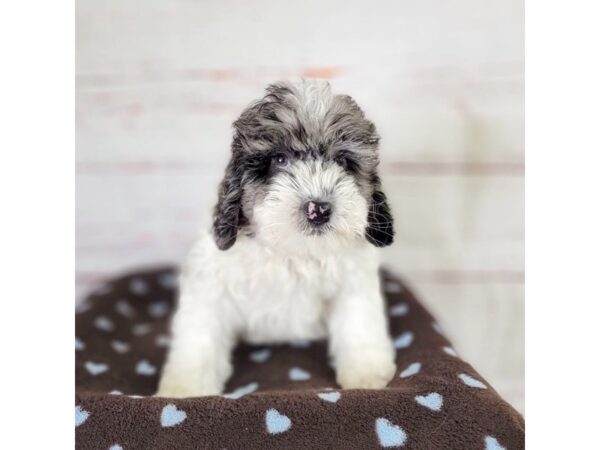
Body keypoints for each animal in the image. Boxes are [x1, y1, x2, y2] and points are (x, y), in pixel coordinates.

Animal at [157, 81, 396, 398]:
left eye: (343, 161)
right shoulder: (210, 285)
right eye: (279, 159)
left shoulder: (354, 283)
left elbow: (359, 323)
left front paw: (366, 374)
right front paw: (185, 388)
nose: (319, 209)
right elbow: (199, 335)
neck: (292, 252)